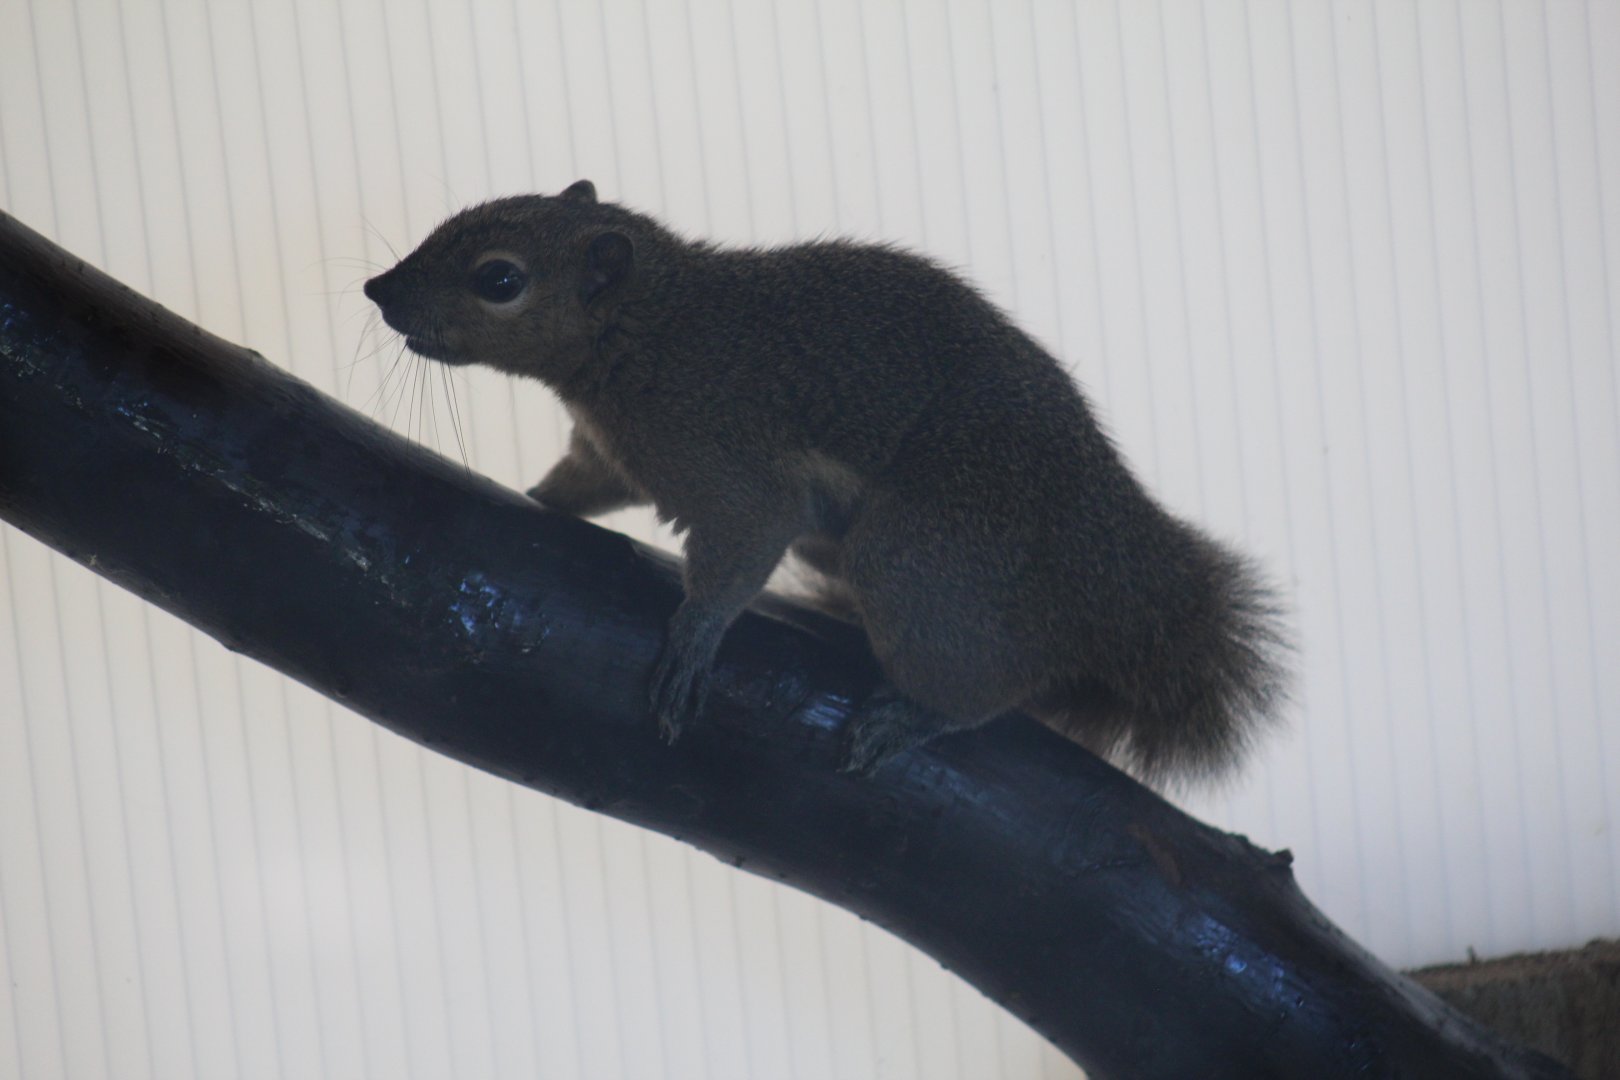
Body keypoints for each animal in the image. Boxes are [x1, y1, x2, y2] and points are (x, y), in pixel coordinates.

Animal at [363, 180, 1289, 785]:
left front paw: (694, 640)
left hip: (920, 559)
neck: (655, 330)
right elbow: (577, 486)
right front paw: (533, 498)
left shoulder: (733, 467)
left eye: (500, 279)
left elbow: (739, 555)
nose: (378, 289)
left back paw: (917, 716)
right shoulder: (611, 456)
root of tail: (1121, 577)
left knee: (1003, 683)